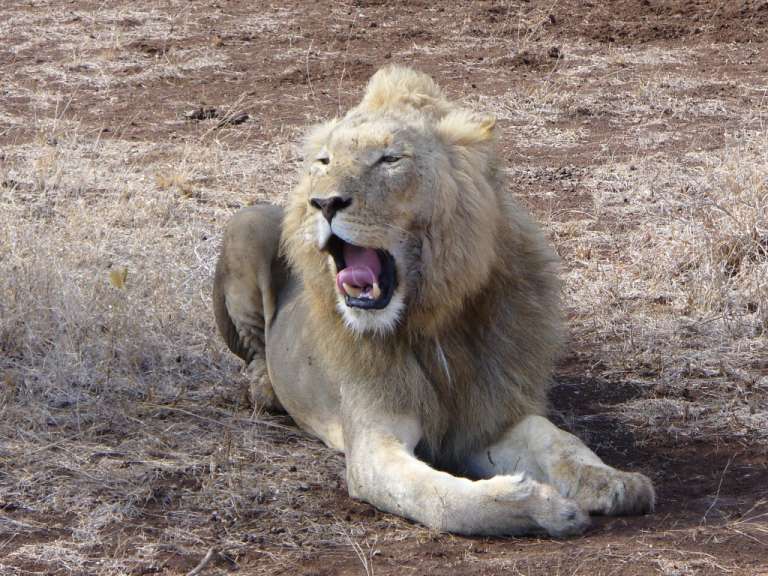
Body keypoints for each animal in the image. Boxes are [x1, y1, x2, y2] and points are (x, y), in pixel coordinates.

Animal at [213, 65, 654, 536]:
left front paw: (613, 481)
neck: (431, 321)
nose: (324, 202)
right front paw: (541, 506)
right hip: (247, 222)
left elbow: (556, 439)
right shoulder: (372, 442)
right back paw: (265, 386)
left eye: (390, 160)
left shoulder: (488, 415)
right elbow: (439, 499)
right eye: (324, 162)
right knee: (254, 351)